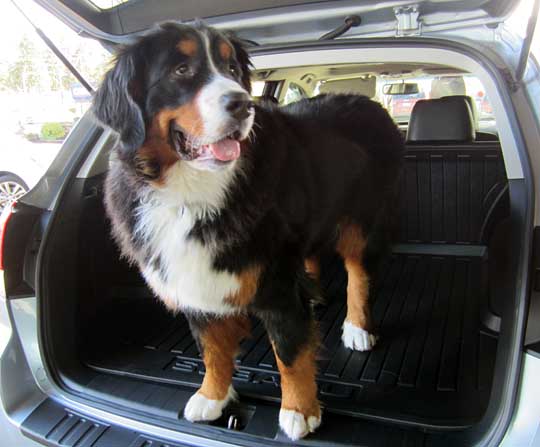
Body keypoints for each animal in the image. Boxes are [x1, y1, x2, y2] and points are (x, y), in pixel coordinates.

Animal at [94, 21, 404, 440]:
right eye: (181, 70)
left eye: (231, 69)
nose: (243, 104)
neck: (192, 191)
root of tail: (368, 101)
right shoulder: (193, 280)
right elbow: (211, 349)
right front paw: (212, 396)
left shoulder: (276, 284)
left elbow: (289, 354)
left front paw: (300, 410)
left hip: (362, 221)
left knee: (358, 272)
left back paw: (357, 326)